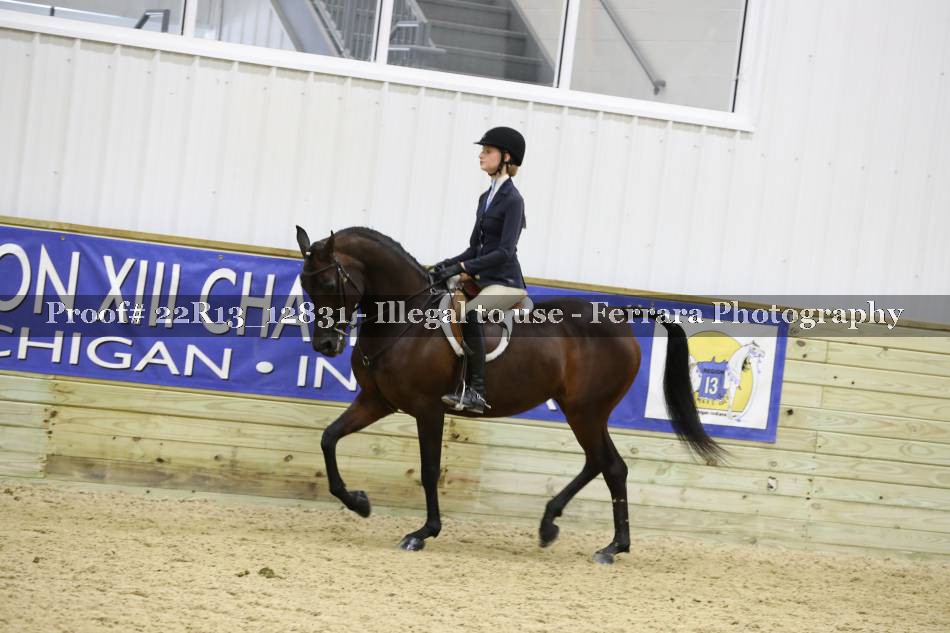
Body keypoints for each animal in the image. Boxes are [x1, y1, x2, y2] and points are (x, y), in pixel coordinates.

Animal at [294, 225, 724, 564]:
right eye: (305, 285)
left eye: (329, 284)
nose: (326, 346)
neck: (405, 319)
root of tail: (618, 317)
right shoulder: (376, 401)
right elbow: (328, 438)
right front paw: (359, 502)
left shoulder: (427, 409)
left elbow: (430, 470)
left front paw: (422, 533)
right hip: (582, 411)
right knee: (605, 464)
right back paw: (574, 534)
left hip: (586, 411)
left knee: (608, 465)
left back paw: (607, 545)